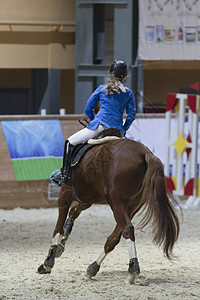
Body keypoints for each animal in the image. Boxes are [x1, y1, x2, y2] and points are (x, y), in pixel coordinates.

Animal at [37, 138, 180, 284]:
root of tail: (145, 153)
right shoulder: (86, 199)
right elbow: (72, 213)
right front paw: (62, 243)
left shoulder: (65, 192)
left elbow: (58, 227)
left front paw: (48, 261)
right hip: (132, 205)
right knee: (114, 238)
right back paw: (92, 269)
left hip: (116, 203)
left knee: (127, 229)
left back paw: (132, 270)